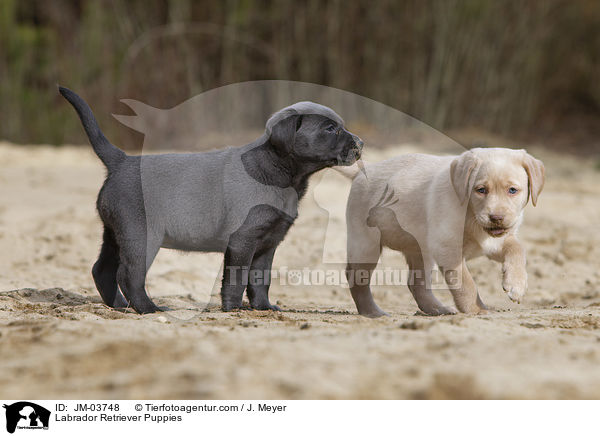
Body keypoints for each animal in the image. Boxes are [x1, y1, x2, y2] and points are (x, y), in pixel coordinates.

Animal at [59, 87, 360, 314]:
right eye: (330, 129)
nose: (361, 143)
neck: (276, 170)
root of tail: (122, 161)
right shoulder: (242, 239)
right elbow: (237, 278)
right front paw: (233, 309)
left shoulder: (268, 243)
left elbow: (260, 279)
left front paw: (263, 307)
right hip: (141, 235)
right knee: (129, 274)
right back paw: (148, 308)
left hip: (114, 233)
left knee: (102, 270)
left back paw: (119, 306)